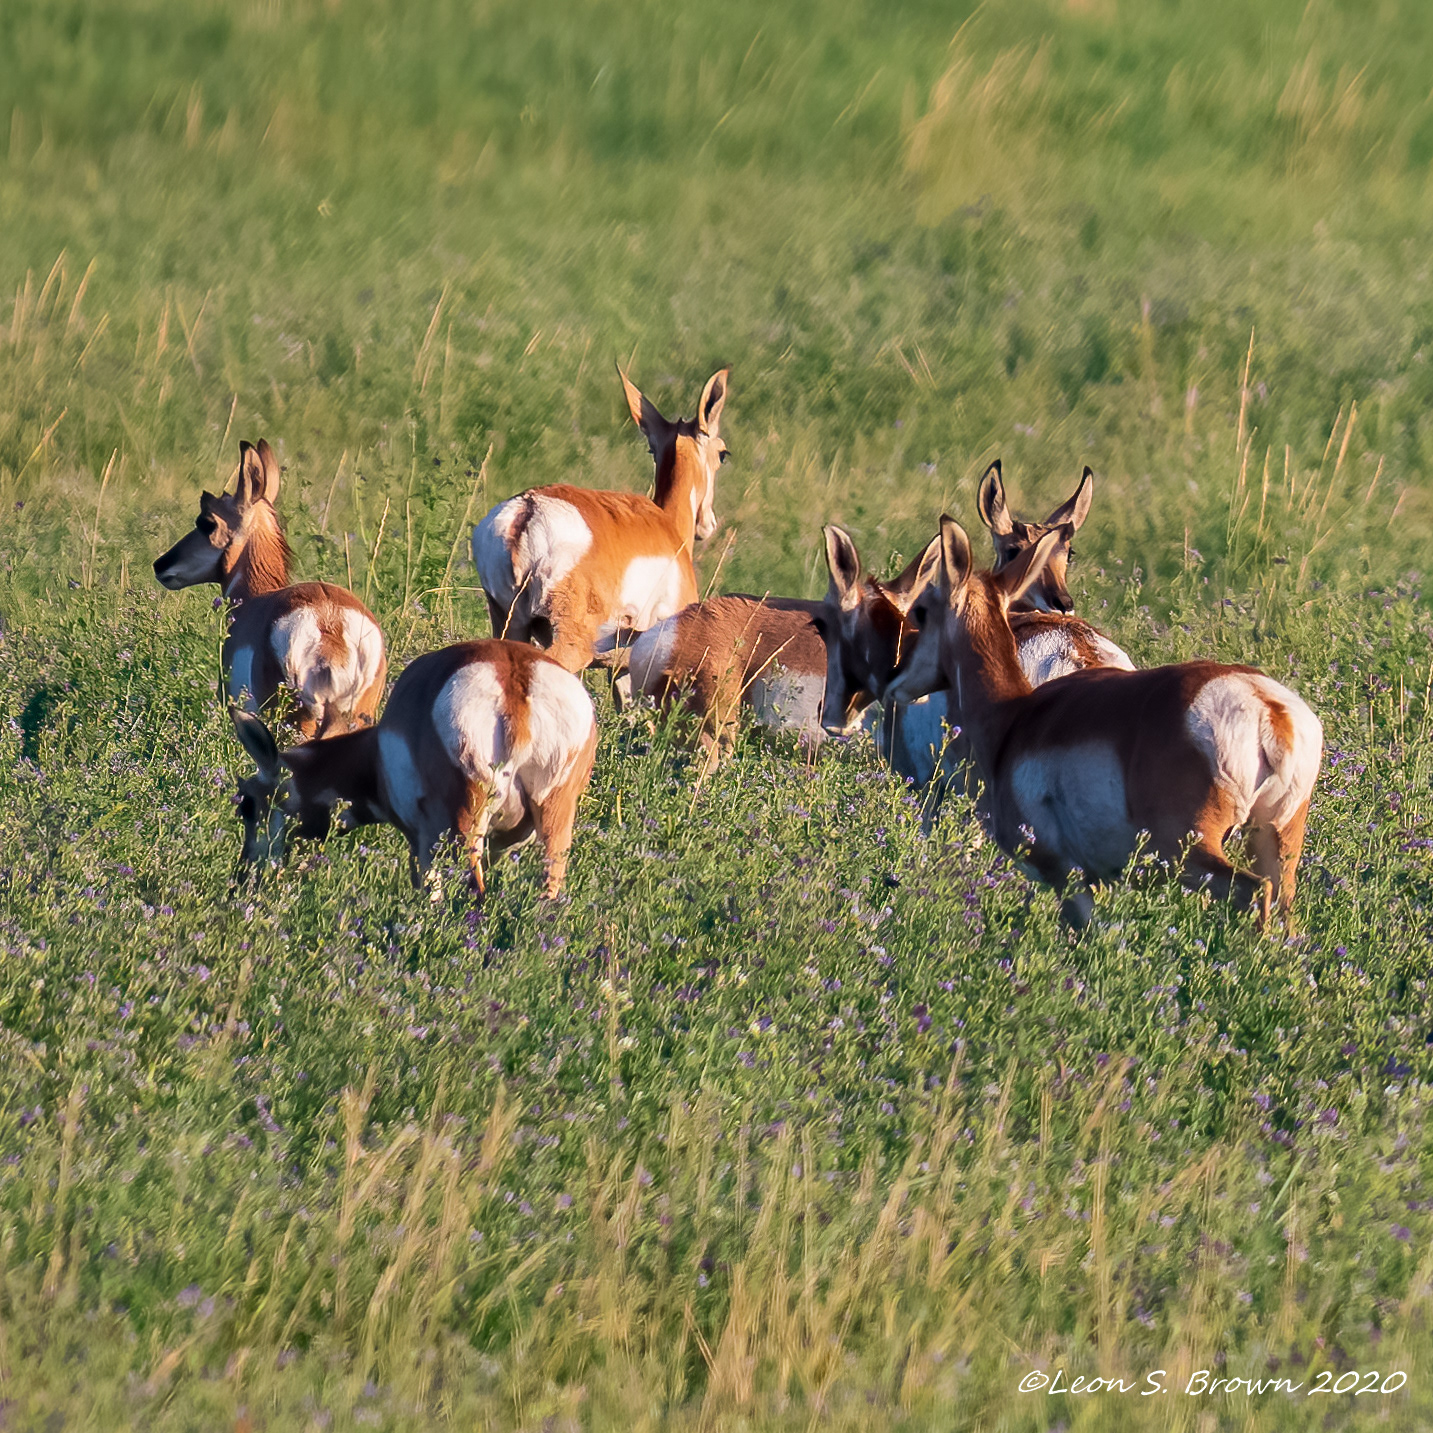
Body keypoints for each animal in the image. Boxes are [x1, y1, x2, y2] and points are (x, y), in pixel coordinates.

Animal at [229, 639, 598, 897]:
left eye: (247, 806)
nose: (240, 879)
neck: (374, 757)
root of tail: (512, 674)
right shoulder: (498, 848)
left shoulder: (420, 843)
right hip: (554, 820)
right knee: (548, 894)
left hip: (464, 829)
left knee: (475, 893)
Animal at [472, 366, 730, 672]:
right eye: (723, 453)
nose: (708, 524)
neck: (668, 526)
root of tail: (528, 508)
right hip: (570, 642)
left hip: (509, 624)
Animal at [887, 518, 1322, 929]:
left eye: (921, 611)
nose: (893, 681)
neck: (1017, 716)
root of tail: (1265, 706)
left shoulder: (1064, 876)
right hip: (1274, 841)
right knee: (1283, 909)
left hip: (1190, 854)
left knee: (1252, 891)